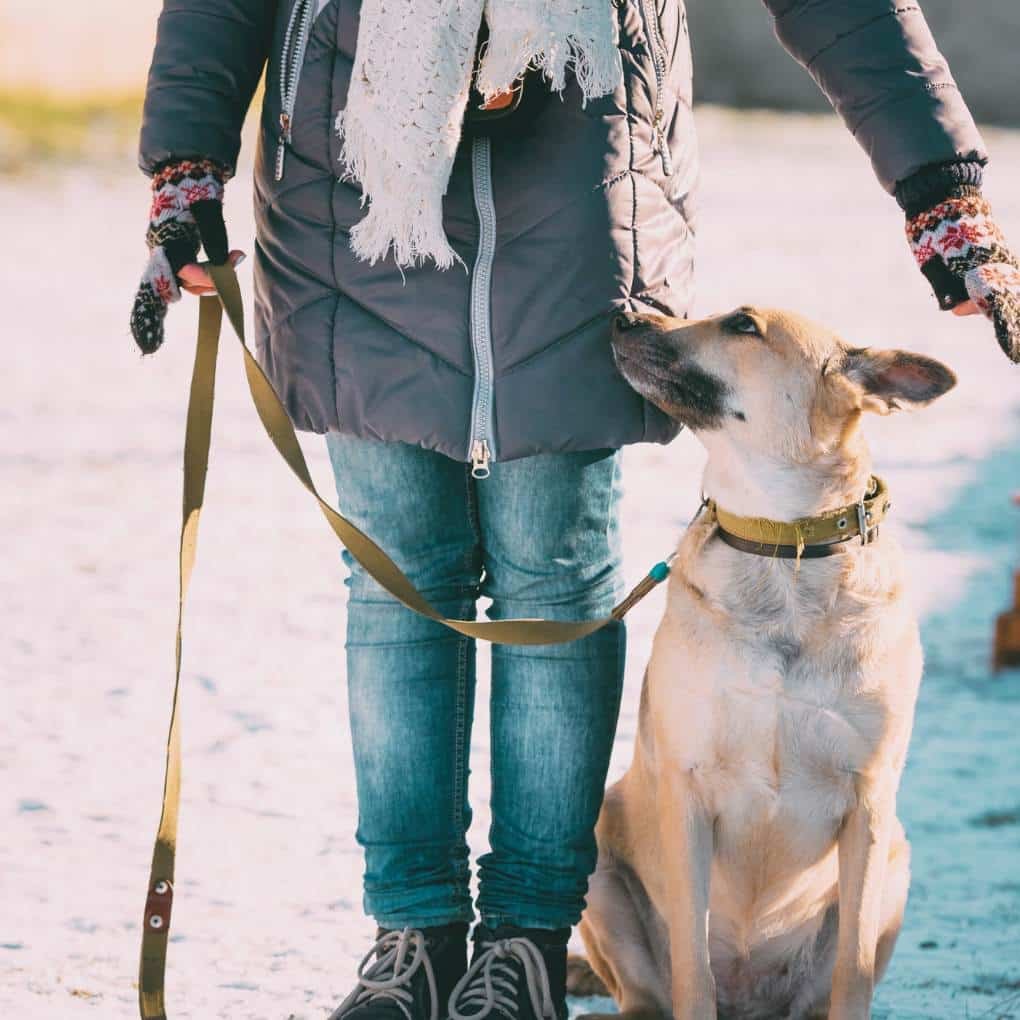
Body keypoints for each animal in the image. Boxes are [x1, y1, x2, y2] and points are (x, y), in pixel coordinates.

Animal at [579, 308, 958, 1020]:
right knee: (645, 989)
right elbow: (691, 970)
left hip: (896, 861)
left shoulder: (869, 804)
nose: (623, 313)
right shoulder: (687, 791)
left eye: (742, 324)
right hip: (596, 852)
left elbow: (852, 972)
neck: (786, 543)